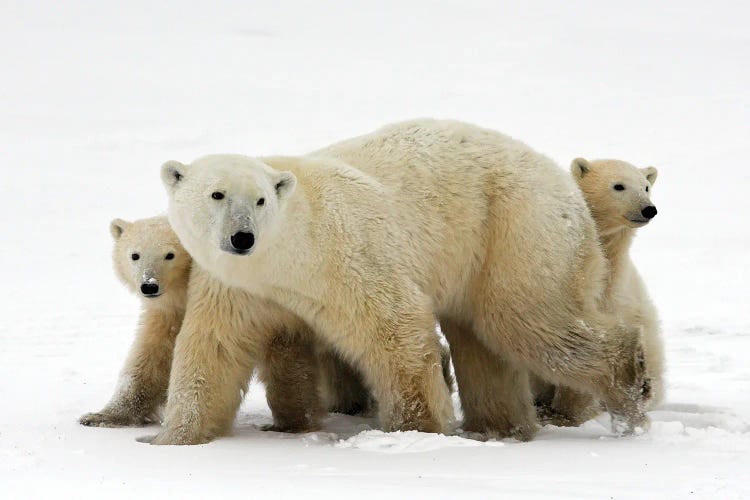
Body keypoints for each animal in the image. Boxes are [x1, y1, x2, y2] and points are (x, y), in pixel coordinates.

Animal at [80, 216, 382, 430]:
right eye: (134, 254)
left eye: (170, 254)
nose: (149, 286)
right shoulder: (170, 312)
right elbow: (152, 359)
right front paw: (100, 416)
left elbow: (285, 355)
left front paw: (292, 422)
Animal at [156, 119, 648, 444]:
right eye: (217, 194)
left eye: (259, 200)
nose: (242, 237)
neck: (286, 256)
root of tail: (565, 185)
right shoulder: (236, 285)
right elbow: (214, 348)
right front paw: (174, 438)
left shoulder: (348, 253)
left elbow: (394, 329)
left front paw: (417, 430)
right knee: (483, 341)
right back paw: (498, 427)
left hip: (516, 229)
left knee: (530, 322)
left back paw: (629, 390)